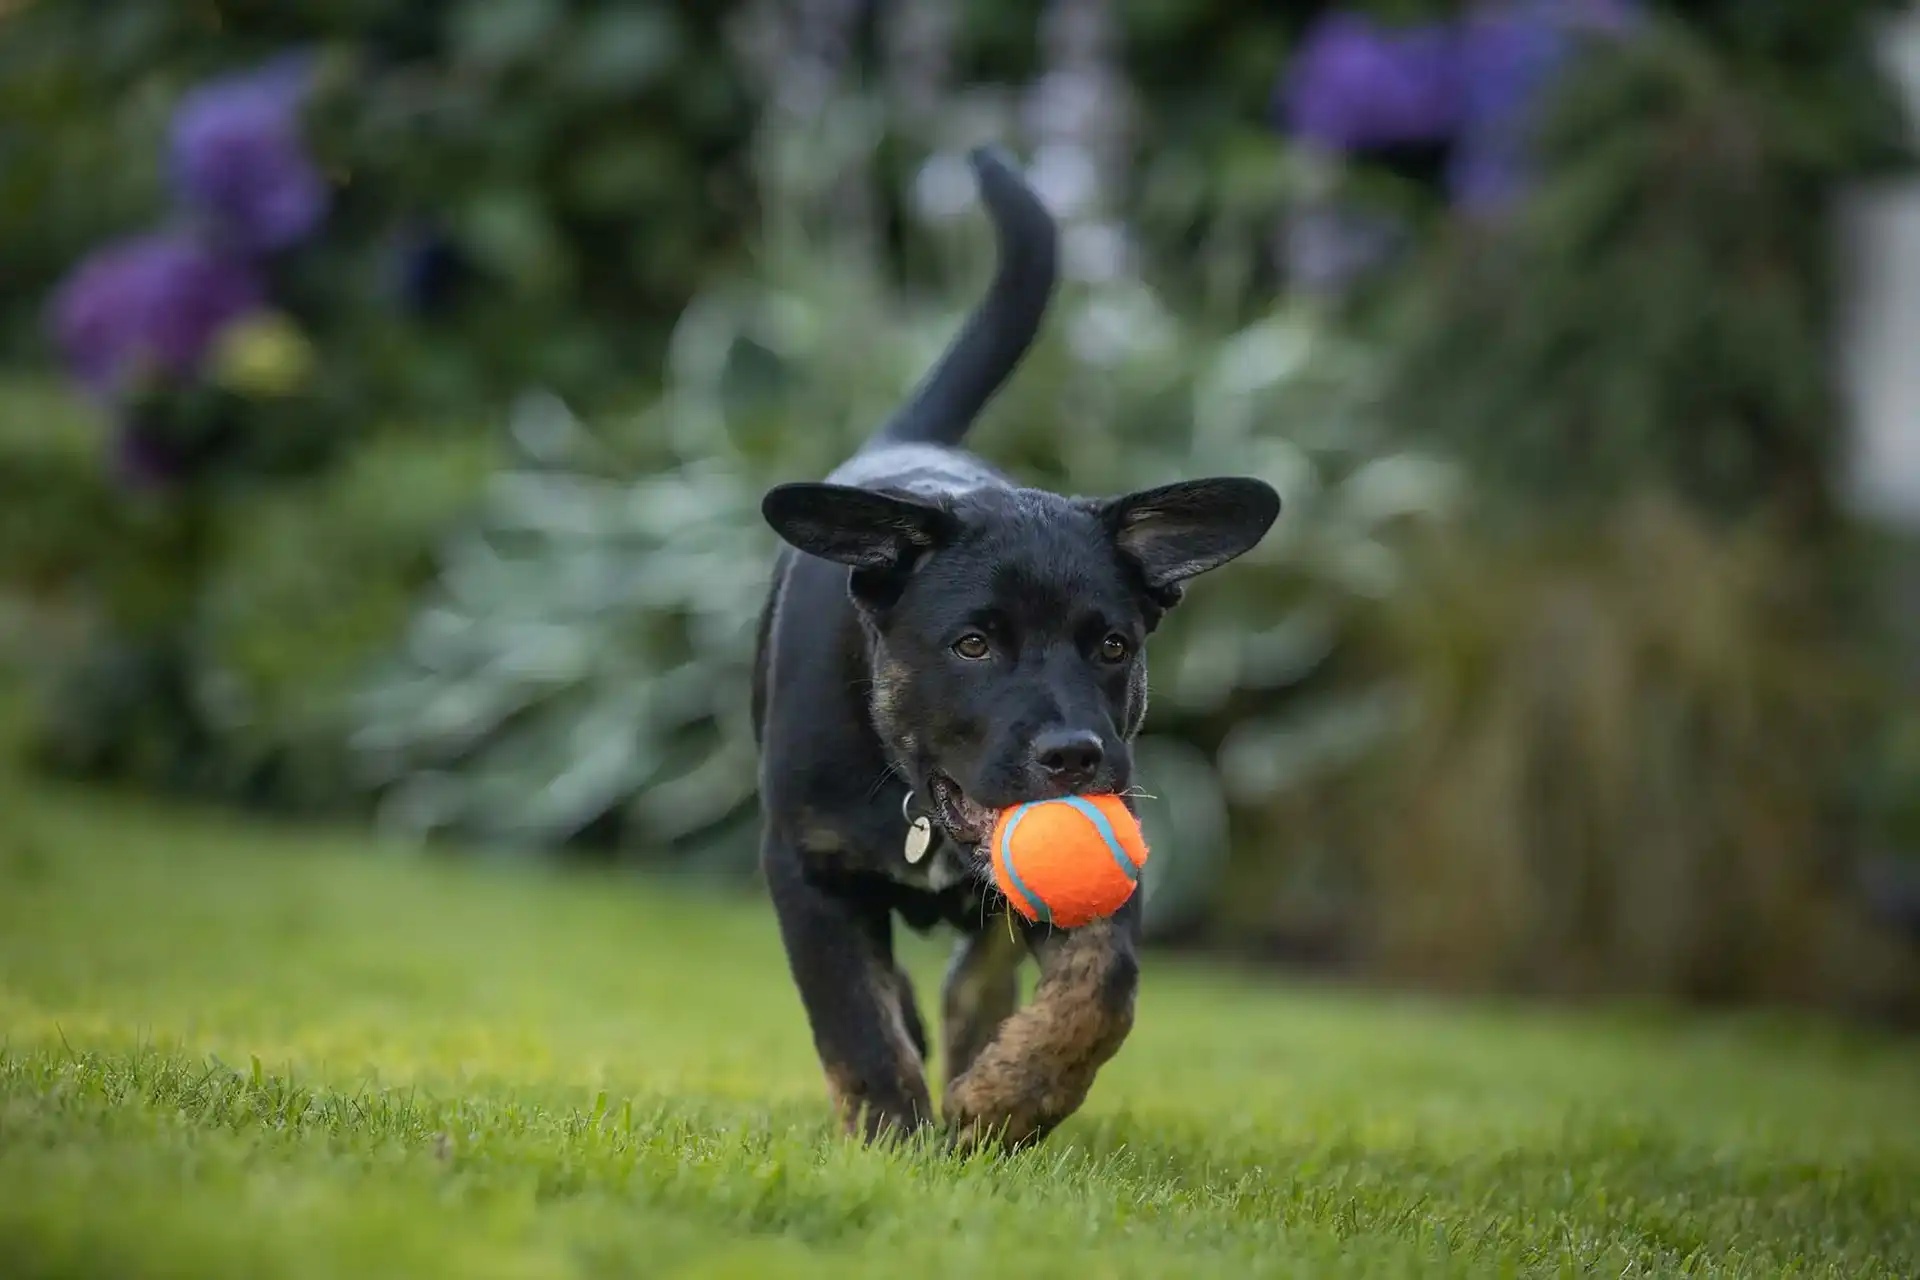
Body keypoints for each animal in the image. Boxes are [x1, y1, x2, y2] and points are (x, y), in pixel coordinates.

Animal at [756, 150, 1282, 1151]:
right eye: (971, 645)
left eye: (1112, 645)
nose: (1073, 757)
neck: (913, 799)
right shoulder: (808, 868)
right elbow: (852, 1016)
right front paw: (890, 1132)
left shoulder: (1115, 865)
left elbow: (1101, 991)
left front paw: (1010, 1095)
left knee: (981, 974)